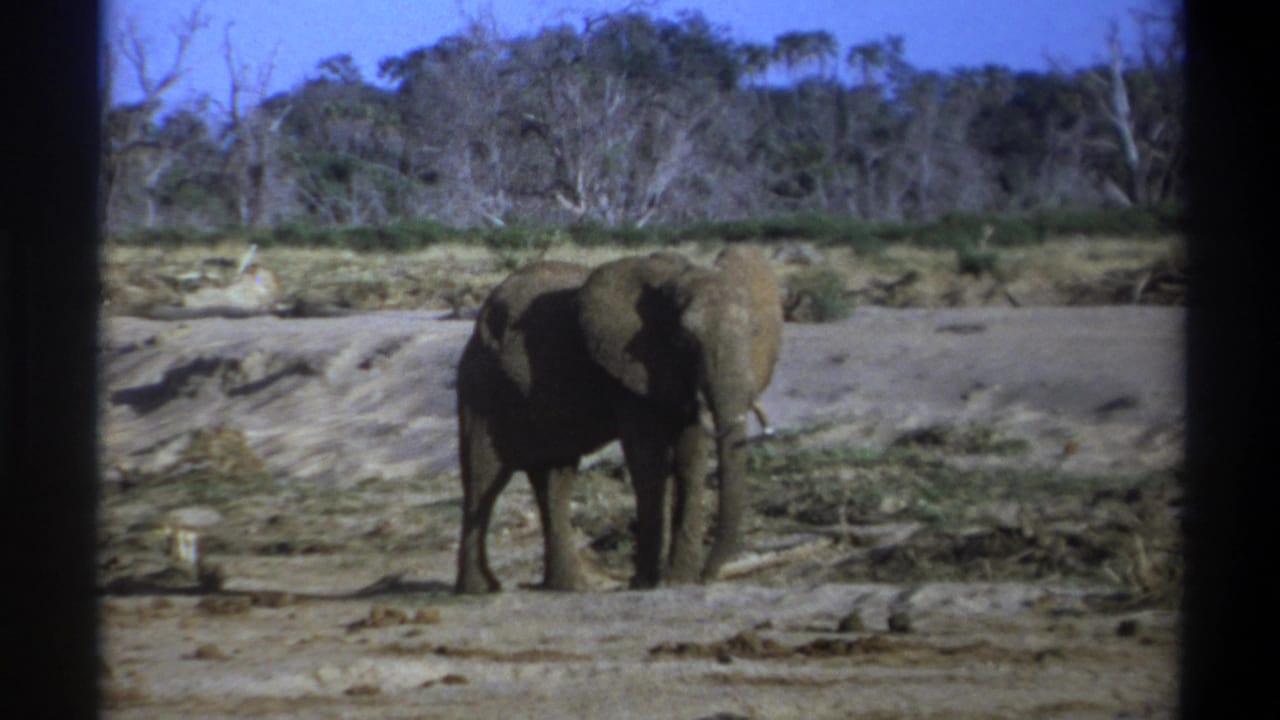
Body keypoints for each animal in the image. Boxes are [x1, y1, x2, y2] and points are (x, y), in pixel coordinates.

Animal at [453, 246, 783, 593]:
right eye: (684, 340)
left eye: (755, 332)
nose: (708, 575)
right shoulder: (627, 375)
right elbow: (648, 461)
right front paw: (648, 582)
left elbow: (690, 459)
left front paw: (679, 579)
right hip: (481, 386)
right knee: (483, 477)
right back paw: (481, 589)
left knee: (554, 479)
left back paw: (570, 586)